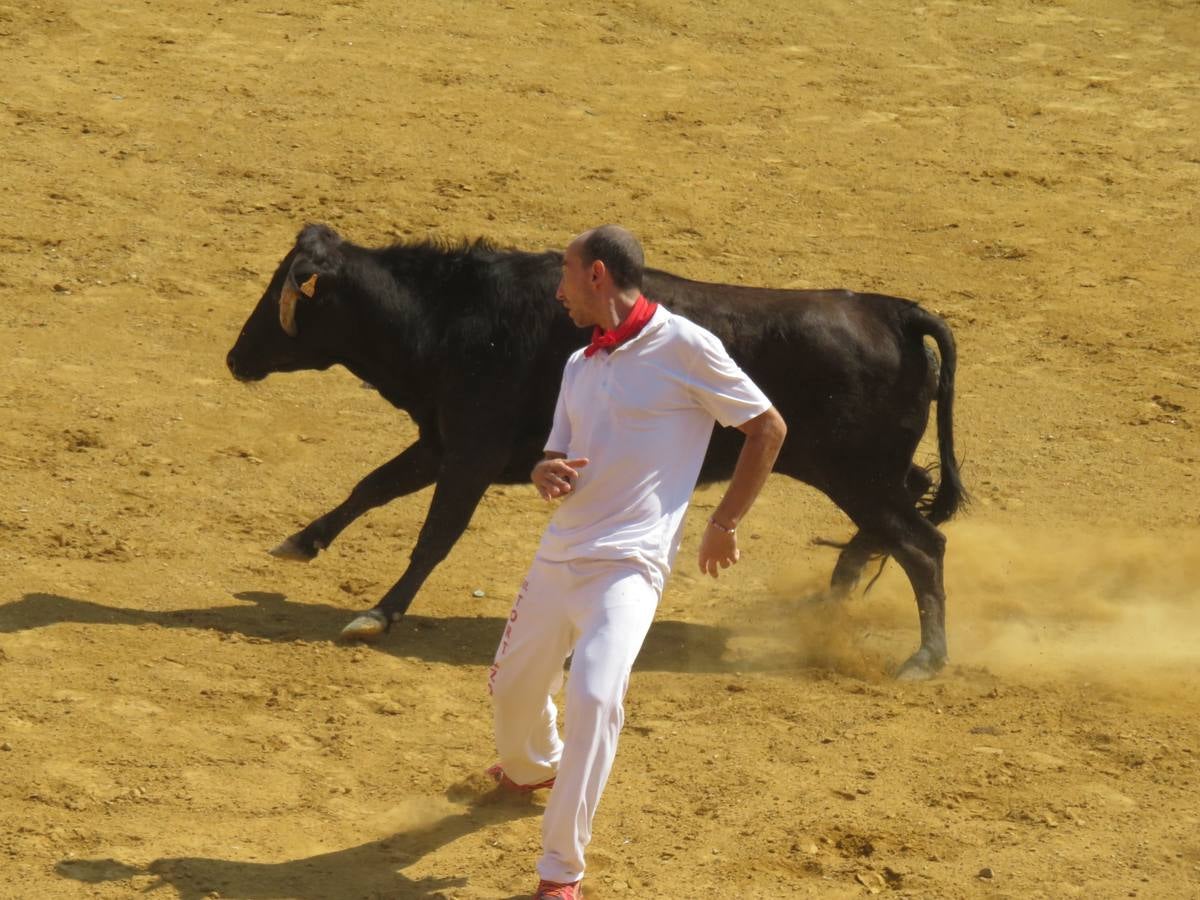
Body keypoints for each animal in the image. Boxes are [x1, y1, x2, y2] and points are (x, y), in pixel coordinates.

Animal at [225, 224, 964, 676]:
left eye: (284, 294)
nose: (234, 359)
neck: (452, 316)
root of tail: (892, 310)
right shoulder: (442, 443)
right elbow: (370, 486)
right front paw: (300, 542)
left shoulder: (471, 453)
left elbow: (435, 535)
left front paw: (377, 614)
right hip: (866, 473)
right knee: (900, 519)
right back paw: (825, 607)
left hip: (857, 474)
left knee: (922, 545)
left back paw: (923, 659)